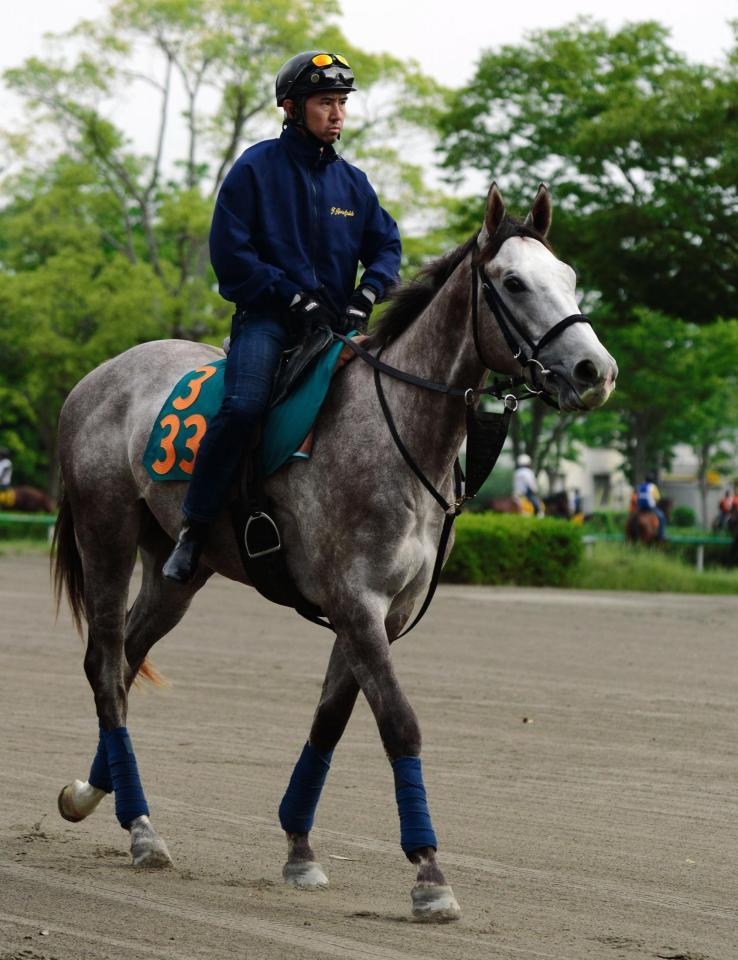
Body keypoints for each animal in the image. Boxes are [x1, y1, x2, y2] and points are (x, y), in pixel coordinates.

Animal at [53, 182, 616, 924]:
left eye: (571, 278)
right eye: (515, 282)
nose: (595, 370)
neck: (396, 431)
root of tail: (95, 379)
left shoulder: (383, 615)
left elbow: (330, 722)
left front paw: (299, 849)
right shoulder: (356, 603)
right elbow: (399, 724)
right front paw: (429, 873)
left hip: (176, 572)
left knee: (124, 663)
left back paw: (94, 794)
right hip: (107, 537)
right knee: (105, 664)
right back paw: (142, 828)